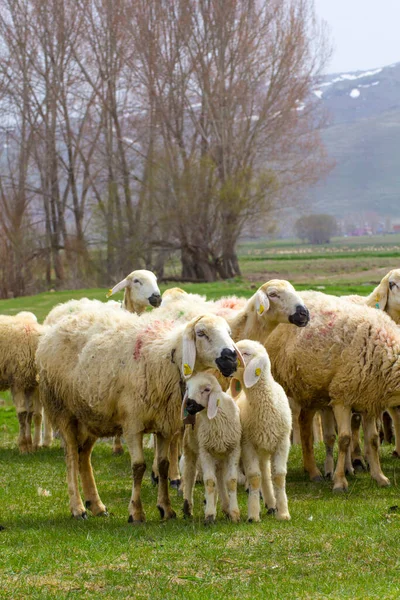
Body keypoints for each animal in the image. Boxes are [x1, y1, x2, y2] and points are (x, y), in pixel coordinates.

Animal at [0, 314, 50, 450]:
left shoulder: (30, 384)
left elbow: (29, 414)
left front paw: (29, 444)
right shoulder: (18, 382)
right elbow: (22, 414)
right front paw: (23, 445)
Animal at [180, 372, 241, 524]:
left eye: (207, 389)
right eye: (188, 388)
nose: (188, 404)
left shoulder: (234, 450)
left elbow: (231, 481)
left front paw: (234, 513)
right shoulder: (205, 451)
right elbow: (209, 482)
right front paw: (209, 515)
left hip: (219, 454)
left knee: (219, 477)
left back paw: (225, 507)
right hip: (191, 448)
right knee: (190, 475)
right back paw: (187, 507)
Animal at [230, 342, 292, 520]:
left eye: (245, 353)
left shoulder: (283, 442)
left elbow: (278, 476)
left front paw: (283, 512)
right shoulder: (248, 444)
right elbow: (254, 477)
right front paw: (253, 514)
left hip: (264, 447)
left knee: (266, 472)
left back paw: (271, 504)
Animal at [266, 290, 400, 492]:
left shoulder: (369, 399)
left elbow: (373, 440)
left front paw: (379, 477)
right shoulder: (342, 397)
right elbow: (344, 439)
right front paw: (339, 481)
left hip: (312, 389)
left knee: (304, 422)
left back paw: (311, 470)